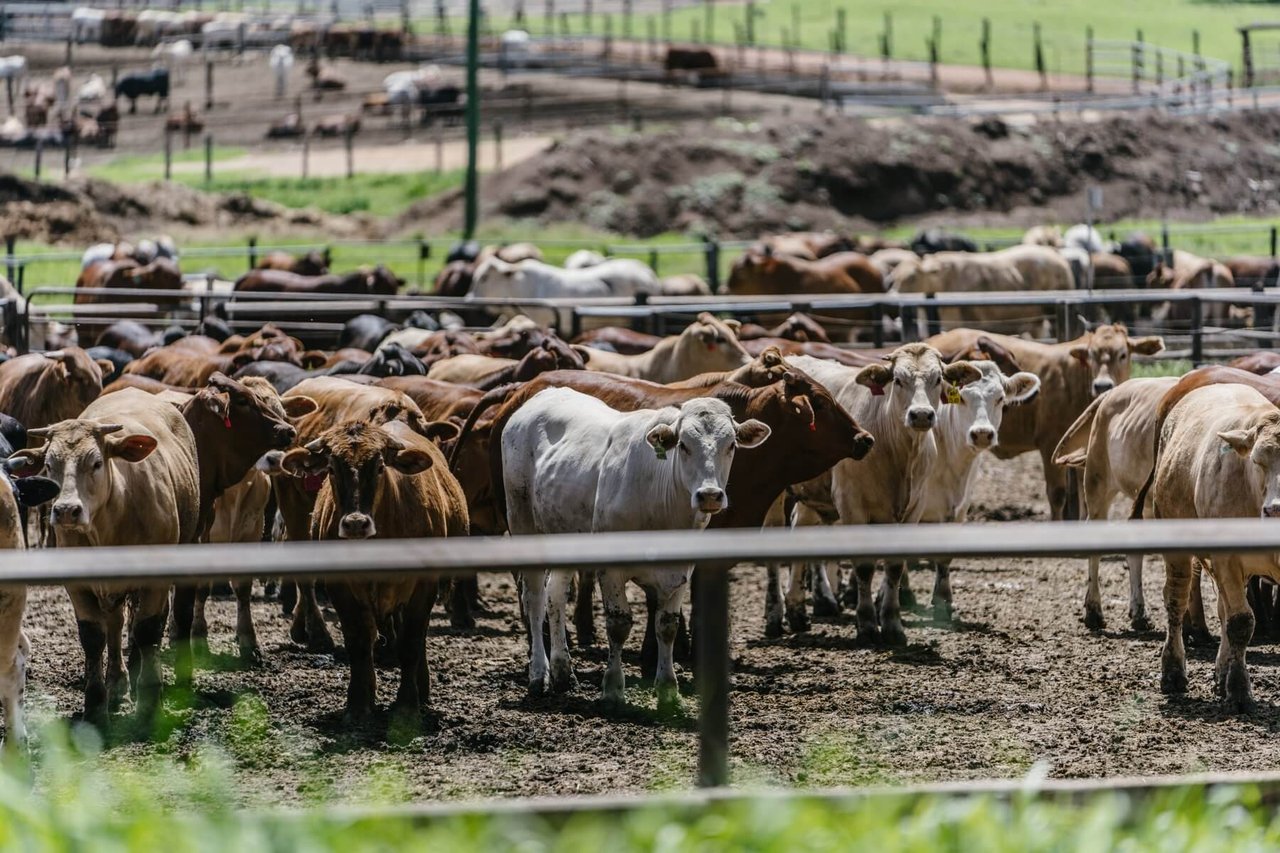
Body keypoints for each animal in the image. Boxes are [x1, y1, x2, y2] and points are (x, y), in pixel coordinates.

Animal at [501, 389, 768, 706]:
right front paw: (613, 689)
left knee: (555, 594)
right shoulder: (610, 569)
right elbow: (619, 625)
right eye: (683, 445)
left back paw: (563, 672)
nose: (710, 495)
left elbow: (667, 626)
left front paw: (668, 689)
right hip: (522, 522)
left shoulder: (681, 571)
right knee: (534, 599)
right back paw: (538, 676)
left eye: (731, 445)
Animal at [926, 322, 1167, 514]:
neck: (1075, 379)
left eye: (1123, 354)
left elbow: (1083, 494)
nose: (1102, 385)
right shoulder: (1050, 443)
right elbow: (1058, 495)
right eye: (1091, 355)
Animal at [1157, 384, 1280, 712]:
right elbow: (1240, 623)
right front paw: (1238, 691)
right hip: (1178, 549)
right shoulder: (1227, 558)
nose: (1275, 509)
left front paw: (1229, 680)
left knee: (1223, 610)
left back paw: (1221, 673)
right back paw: (1173, 672)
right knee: (1177, 600)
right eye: (1257, 461)